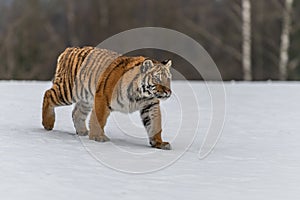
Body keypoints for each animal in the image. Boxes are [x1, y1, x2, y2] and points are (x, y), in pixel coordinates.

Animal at [43, 47, 172, 149]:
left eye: (168, 79)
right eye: (157, 79)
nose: (168, 92)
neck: (141, 94)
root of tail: (69, 49)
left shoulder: (150, 105)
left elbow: (155, 124)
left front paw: (159, 143)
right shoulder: (103, 97)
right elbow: (99, 119)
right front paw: (98, 137)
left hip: (85, 99)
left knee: (76, 113)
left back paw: (82, 132)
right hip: (68, 91)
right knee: (48, 94)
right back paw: (48, 124)